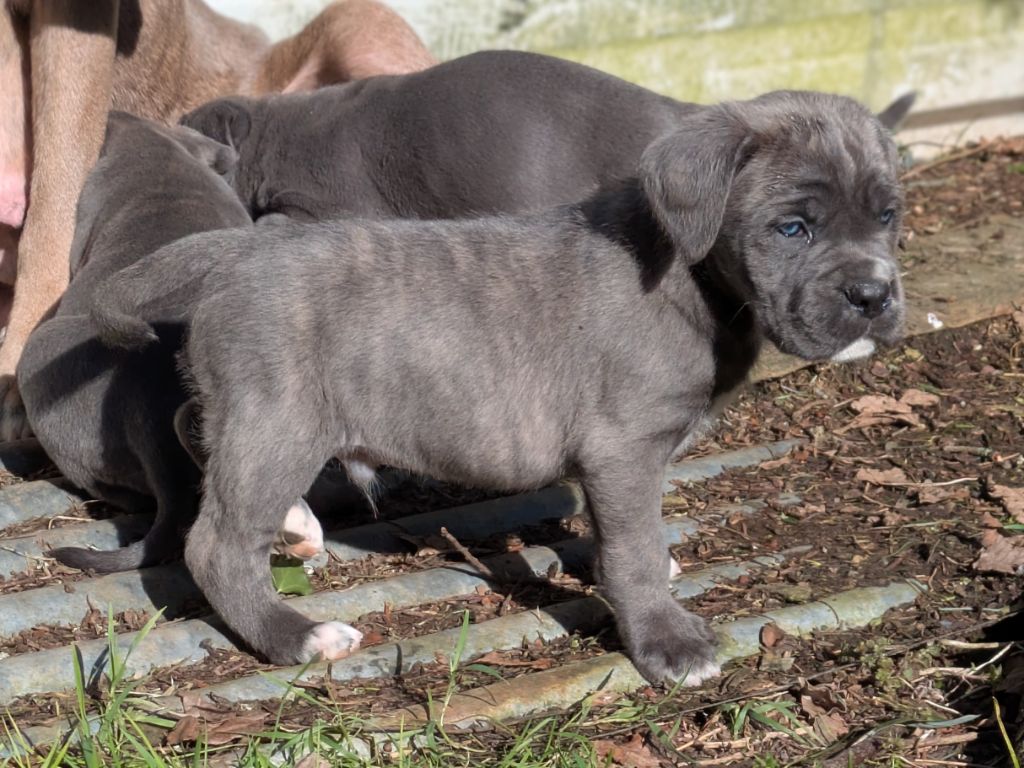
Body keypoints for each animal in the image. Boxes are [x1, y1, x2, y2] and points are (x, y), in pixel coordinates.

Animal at [91, 90, 907, 684]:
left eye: (888, 215)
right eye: (793, 228)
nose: (874, 295)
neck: (695, 276)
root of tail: (236, 248)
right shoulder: (624, 448)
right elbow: (635, 548)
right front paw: (666, 641)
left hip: (249, 405)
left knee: (191, 428)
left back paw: (294, 525)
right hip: (281, 419)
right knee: (217, 542)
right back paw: (297, 634)